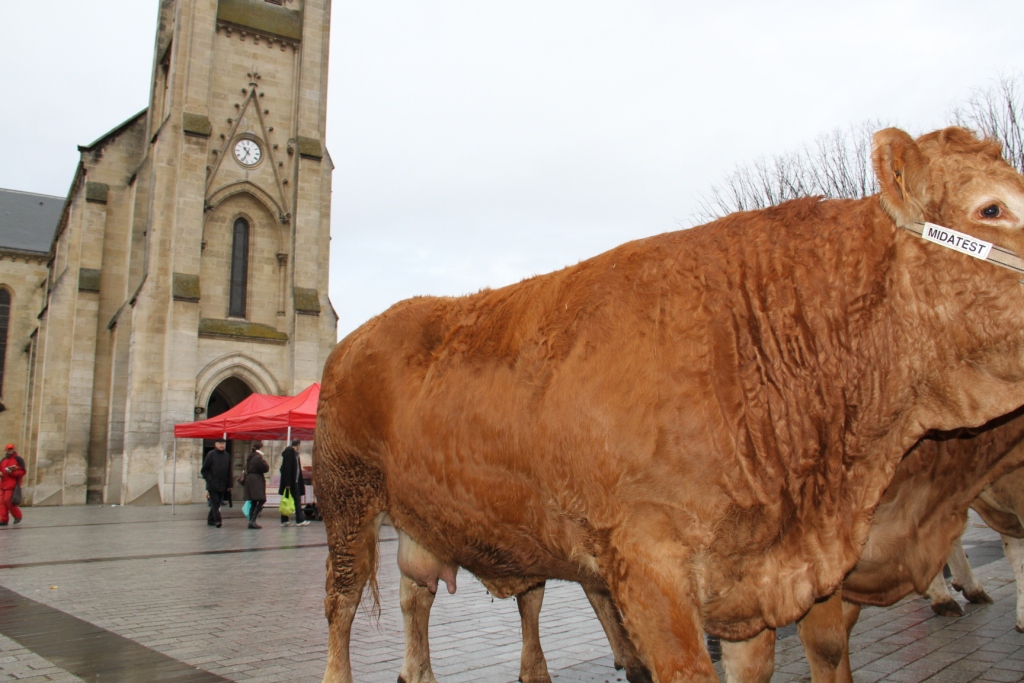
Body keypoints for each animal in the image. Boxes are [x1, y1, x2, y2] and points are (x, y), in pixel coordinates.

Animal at [313, 129, 1024, 683]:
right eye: (992, 208)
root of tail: (367, 330)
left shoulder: (757, 585)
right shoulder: (650, 568)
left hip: (444, 517)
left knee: (425, 594)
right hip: (346, 497)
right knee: (342, 605)